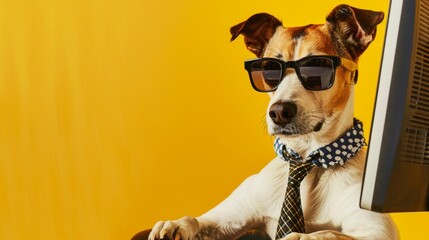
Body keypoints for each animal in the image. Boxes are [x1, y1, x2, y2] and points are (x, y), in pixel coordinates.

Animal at [148, 4, 398, 240]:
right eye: (268, 69)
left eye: (318, 66)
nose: (279, 112)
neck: (303, 158)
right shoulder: (229, 217)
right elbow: (197, 219)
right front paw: (174, 225)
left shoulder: (376, 229)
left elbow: (329, 233)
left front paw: (300, 236)